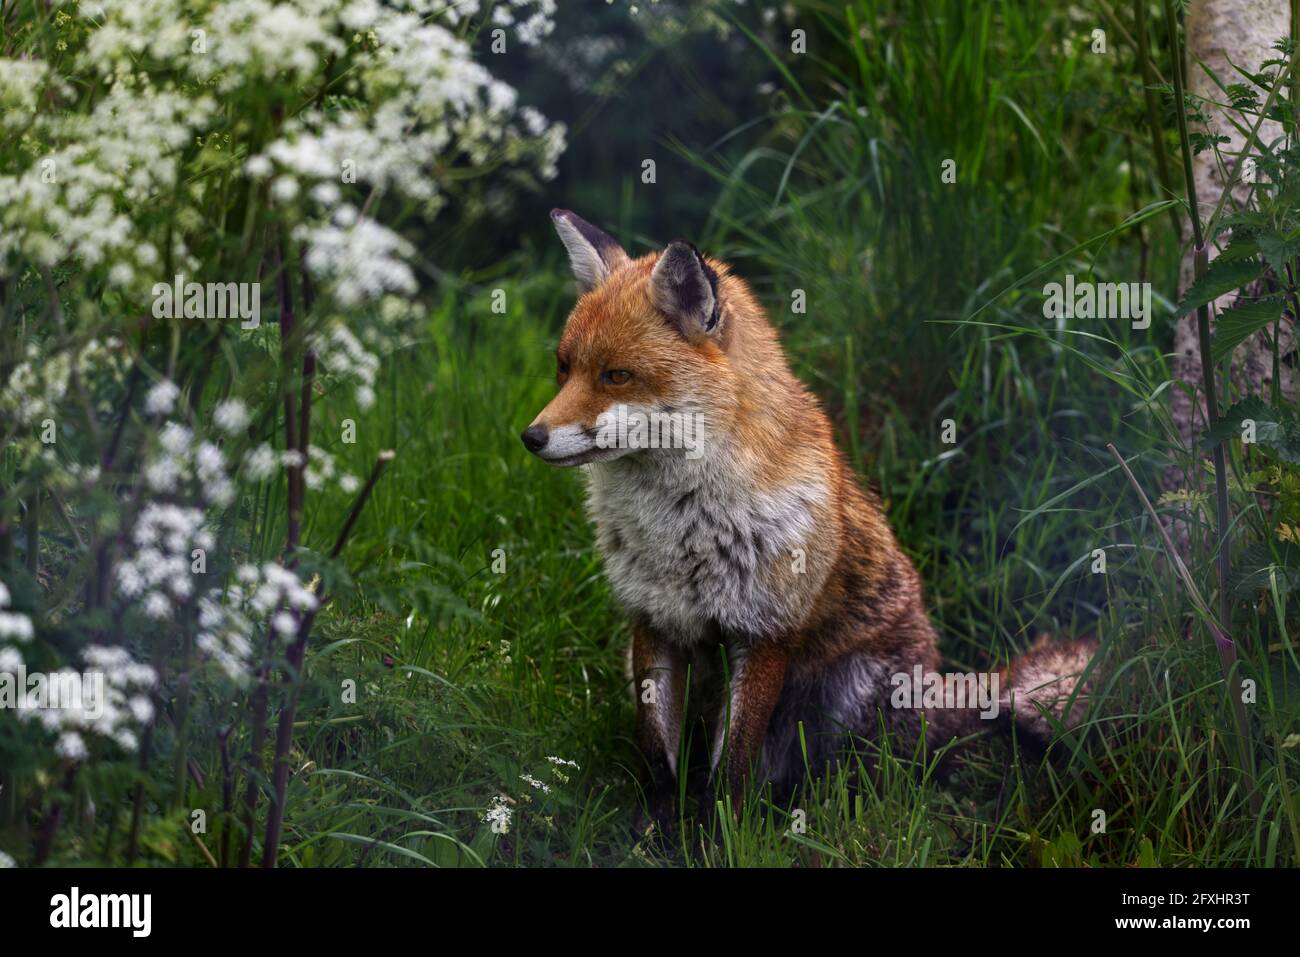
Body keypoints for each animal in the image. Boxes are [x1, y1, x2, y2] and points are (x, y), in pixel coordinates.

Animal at [517, 208, 1097, 821]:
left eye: (616, 376)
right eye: (564, 369)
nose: (531, 437)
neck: (683, 528)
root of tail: (944, 684)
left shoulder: (765, 633)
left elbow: (732, 769)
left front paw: (717, 832)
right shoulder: (654, 622)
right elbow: (658, 756)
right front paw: (657, 825)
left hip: (849, 696)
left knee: (862, 775)